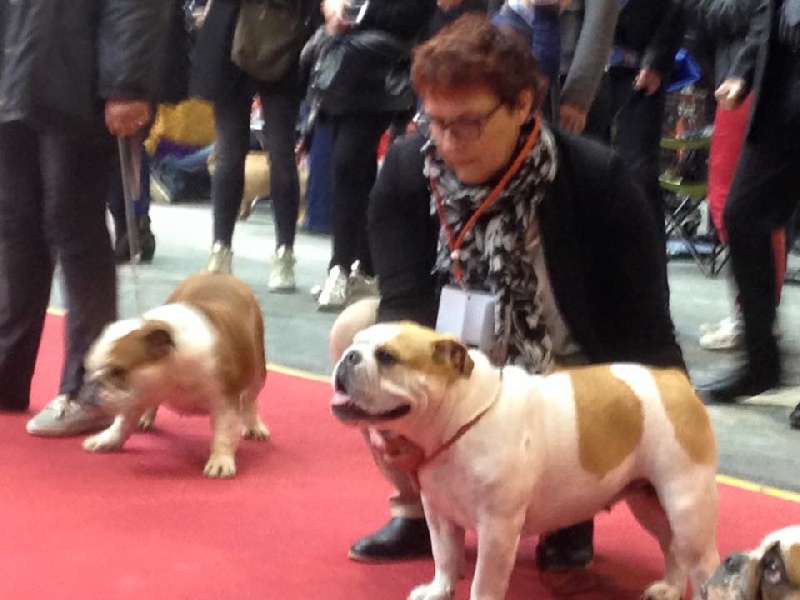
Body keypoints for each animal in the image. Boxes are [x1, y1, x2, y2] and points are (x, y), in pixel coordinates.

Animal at [80, 272, 270, 478]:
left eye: (118, 371)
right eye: (87, 370)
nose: (87, 396)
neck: (173, 367)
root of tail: (219, 274)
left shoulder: (225, 401)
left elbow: (224, 433)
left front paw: (220, 461)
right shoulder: (135, 397)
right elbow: (122, 424)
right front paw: (108, 439)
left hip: (258, 373)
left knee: (250, 399)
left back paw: (255, 426)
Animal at [331, 322, 721, 600]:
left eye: (387, 357)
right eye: (355, 344)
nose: (349, 356)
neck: (459, 420)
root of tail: (675, 380)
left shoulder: (497, 529)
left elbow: (484, 582)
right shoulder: (439, 515)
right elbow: (444, 557)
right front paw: (437, 591)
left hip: (686, 503)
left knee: (703, 562)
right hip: (648, 500)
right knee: (672, 546)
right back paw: (668, 588)